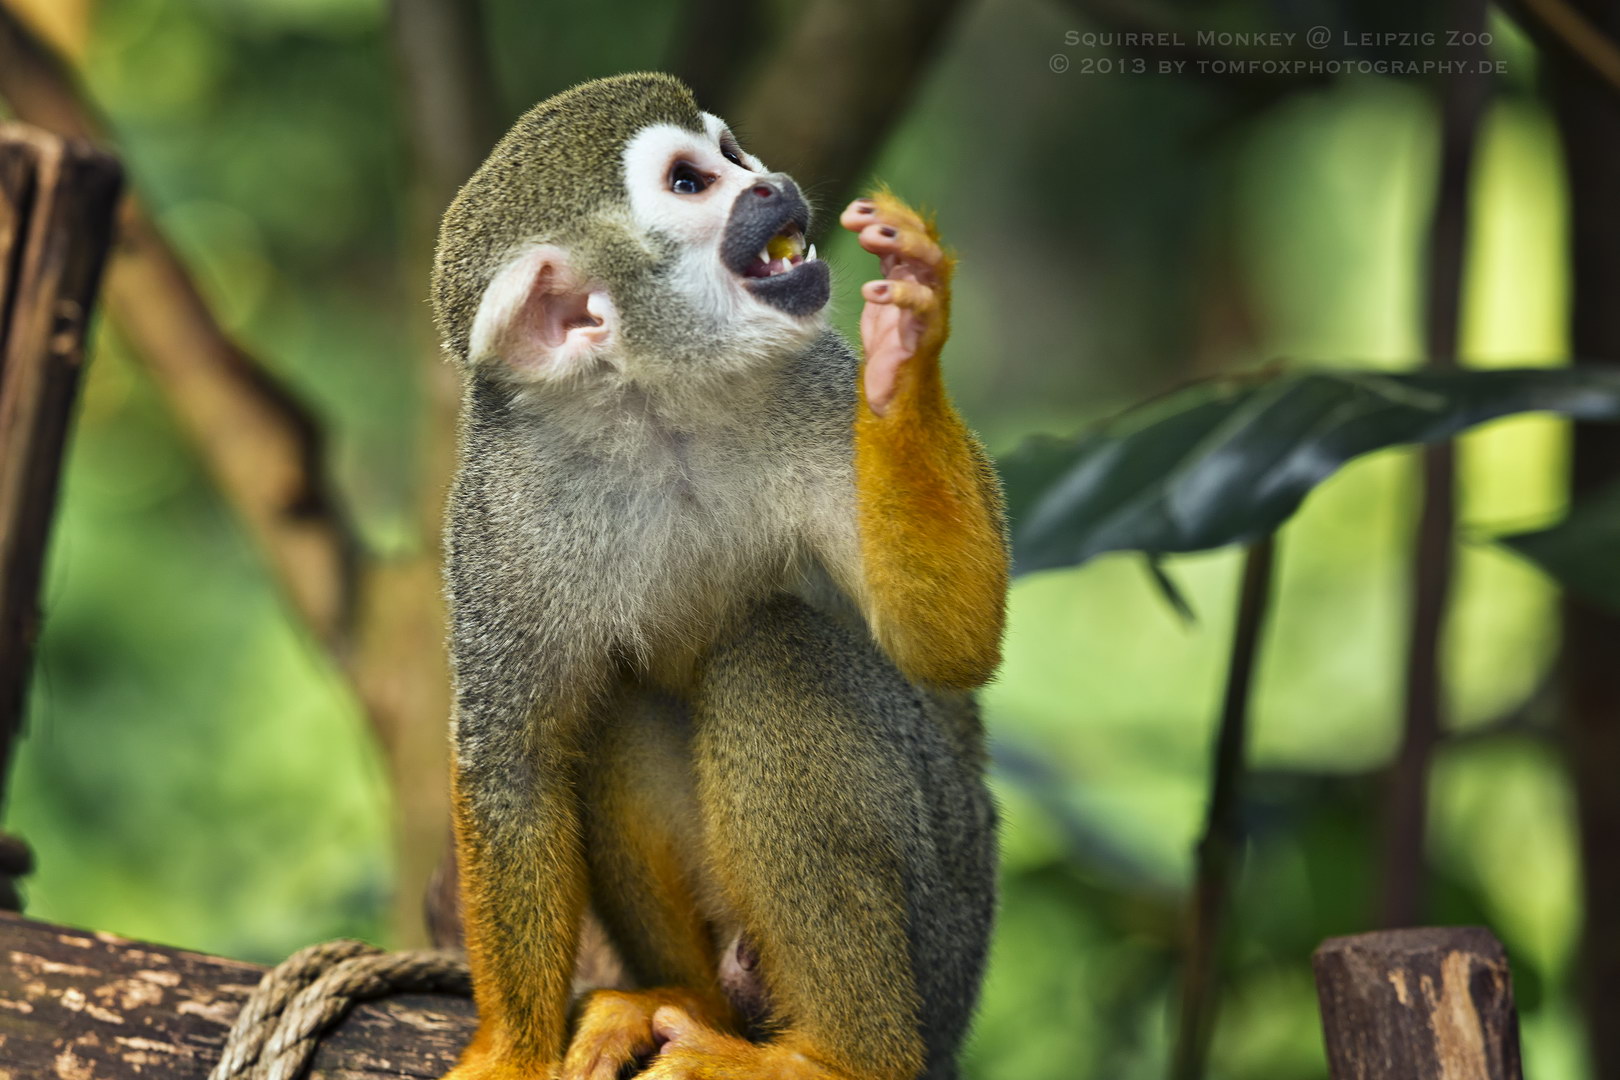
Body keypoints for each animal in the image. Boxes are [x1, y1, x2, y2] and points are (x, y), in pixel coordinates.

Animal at [437, 74, 1004, 1080]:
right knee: (617, 705)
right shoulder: (501, 496)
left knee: (778, 653)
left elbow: (951, 641)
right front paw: (511, 1050)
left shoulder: (818, 383)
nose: (770, 182)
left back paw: (841, 1059)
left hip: (944, 929)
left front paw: (909, 338)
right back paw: (688, 998)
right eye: (691, 183)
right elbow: (517, 758)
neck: (654, 405)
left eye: (733, 153)